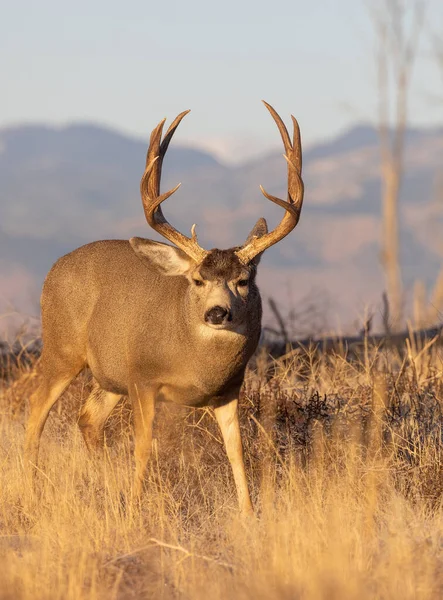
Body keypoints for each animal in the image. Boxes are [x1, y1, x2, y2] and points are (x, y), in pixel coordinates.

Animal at [25, 101, 306, 512]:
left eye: (244, 280)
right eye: (197, 280)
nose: (217, 313)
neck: (195, 363)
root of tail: (53, 268)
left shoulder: (230, 389)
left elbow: (236, 451)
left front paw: (248, 513)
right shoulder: (143, 378)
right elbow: (143, 448)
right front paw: (135, 511)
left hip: (109, 375)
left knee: (88, 418)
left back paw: (109, 492)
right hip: (62, 347)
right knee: (35, 409)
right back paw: (33, 489)